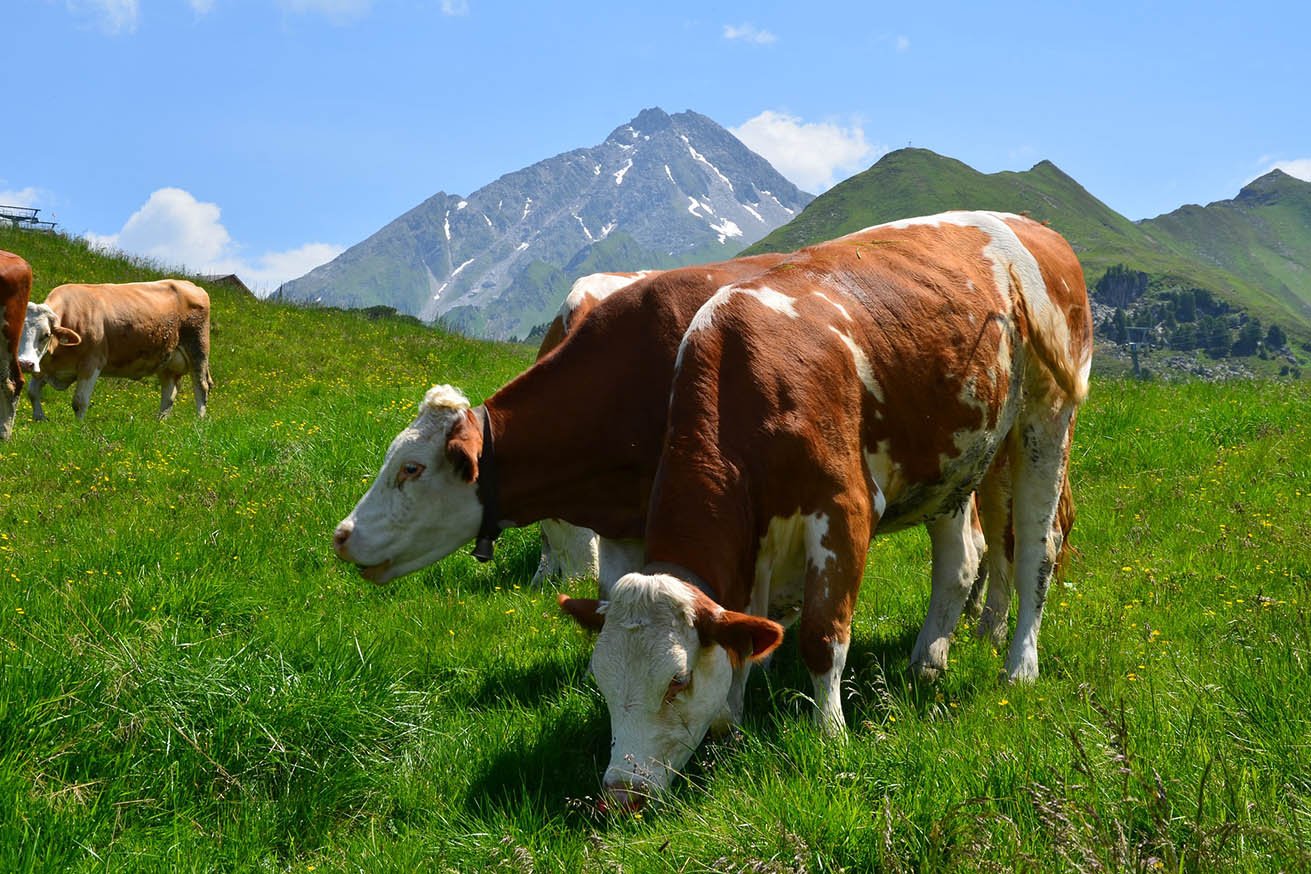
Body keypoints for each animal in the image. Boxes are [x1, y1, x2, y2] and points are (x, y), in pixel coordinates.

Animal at [19, 276, 212, 419]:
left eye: (46, 334)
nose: (25, 364)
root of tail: (190, 284)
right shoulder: (44, 366)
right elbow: (32, 393)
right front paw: (39, 419)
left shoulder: (92, 363)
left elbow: (79, 402)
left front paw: (78, 429)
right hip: (167, 361)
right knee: (169, 392)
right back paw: (159, 422)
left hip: (198, 348)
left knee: (201, 386)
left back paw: (199, 422)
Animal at [558, 209, 1090, 807]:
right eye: (602, 681)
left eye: (677, 680)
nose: (621, 794)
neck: (747, 380)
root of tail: (1035, 228)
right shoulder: (753, 546)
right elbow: (746, 635)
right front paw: (730, 724)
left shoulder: (843, 508)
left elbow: (822, 635)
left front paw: (830, 736)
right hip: (960, 458)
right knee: (964, 560)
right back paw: (929, 660)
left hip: (1047, 418)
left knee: (1036, 552)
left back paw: (1019, 666)